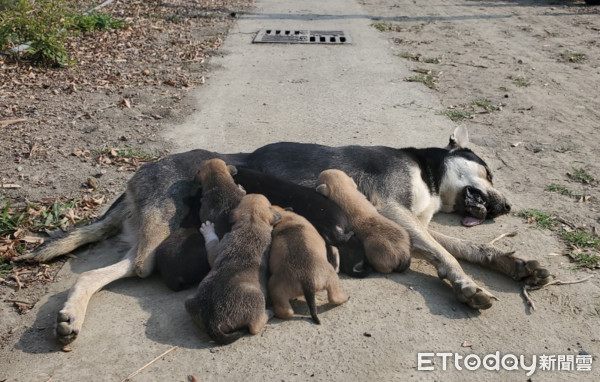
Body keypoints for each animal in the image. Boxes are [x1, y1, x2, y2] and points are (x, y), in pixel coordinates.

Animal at [185, 194, 282, 346]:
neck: (251, 222)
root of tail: (212, 320)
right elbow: (212, 243)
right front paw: (208, 229)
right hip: (257, 298)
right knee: (255, 326)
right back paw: (269, 312)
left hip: (188, 300)